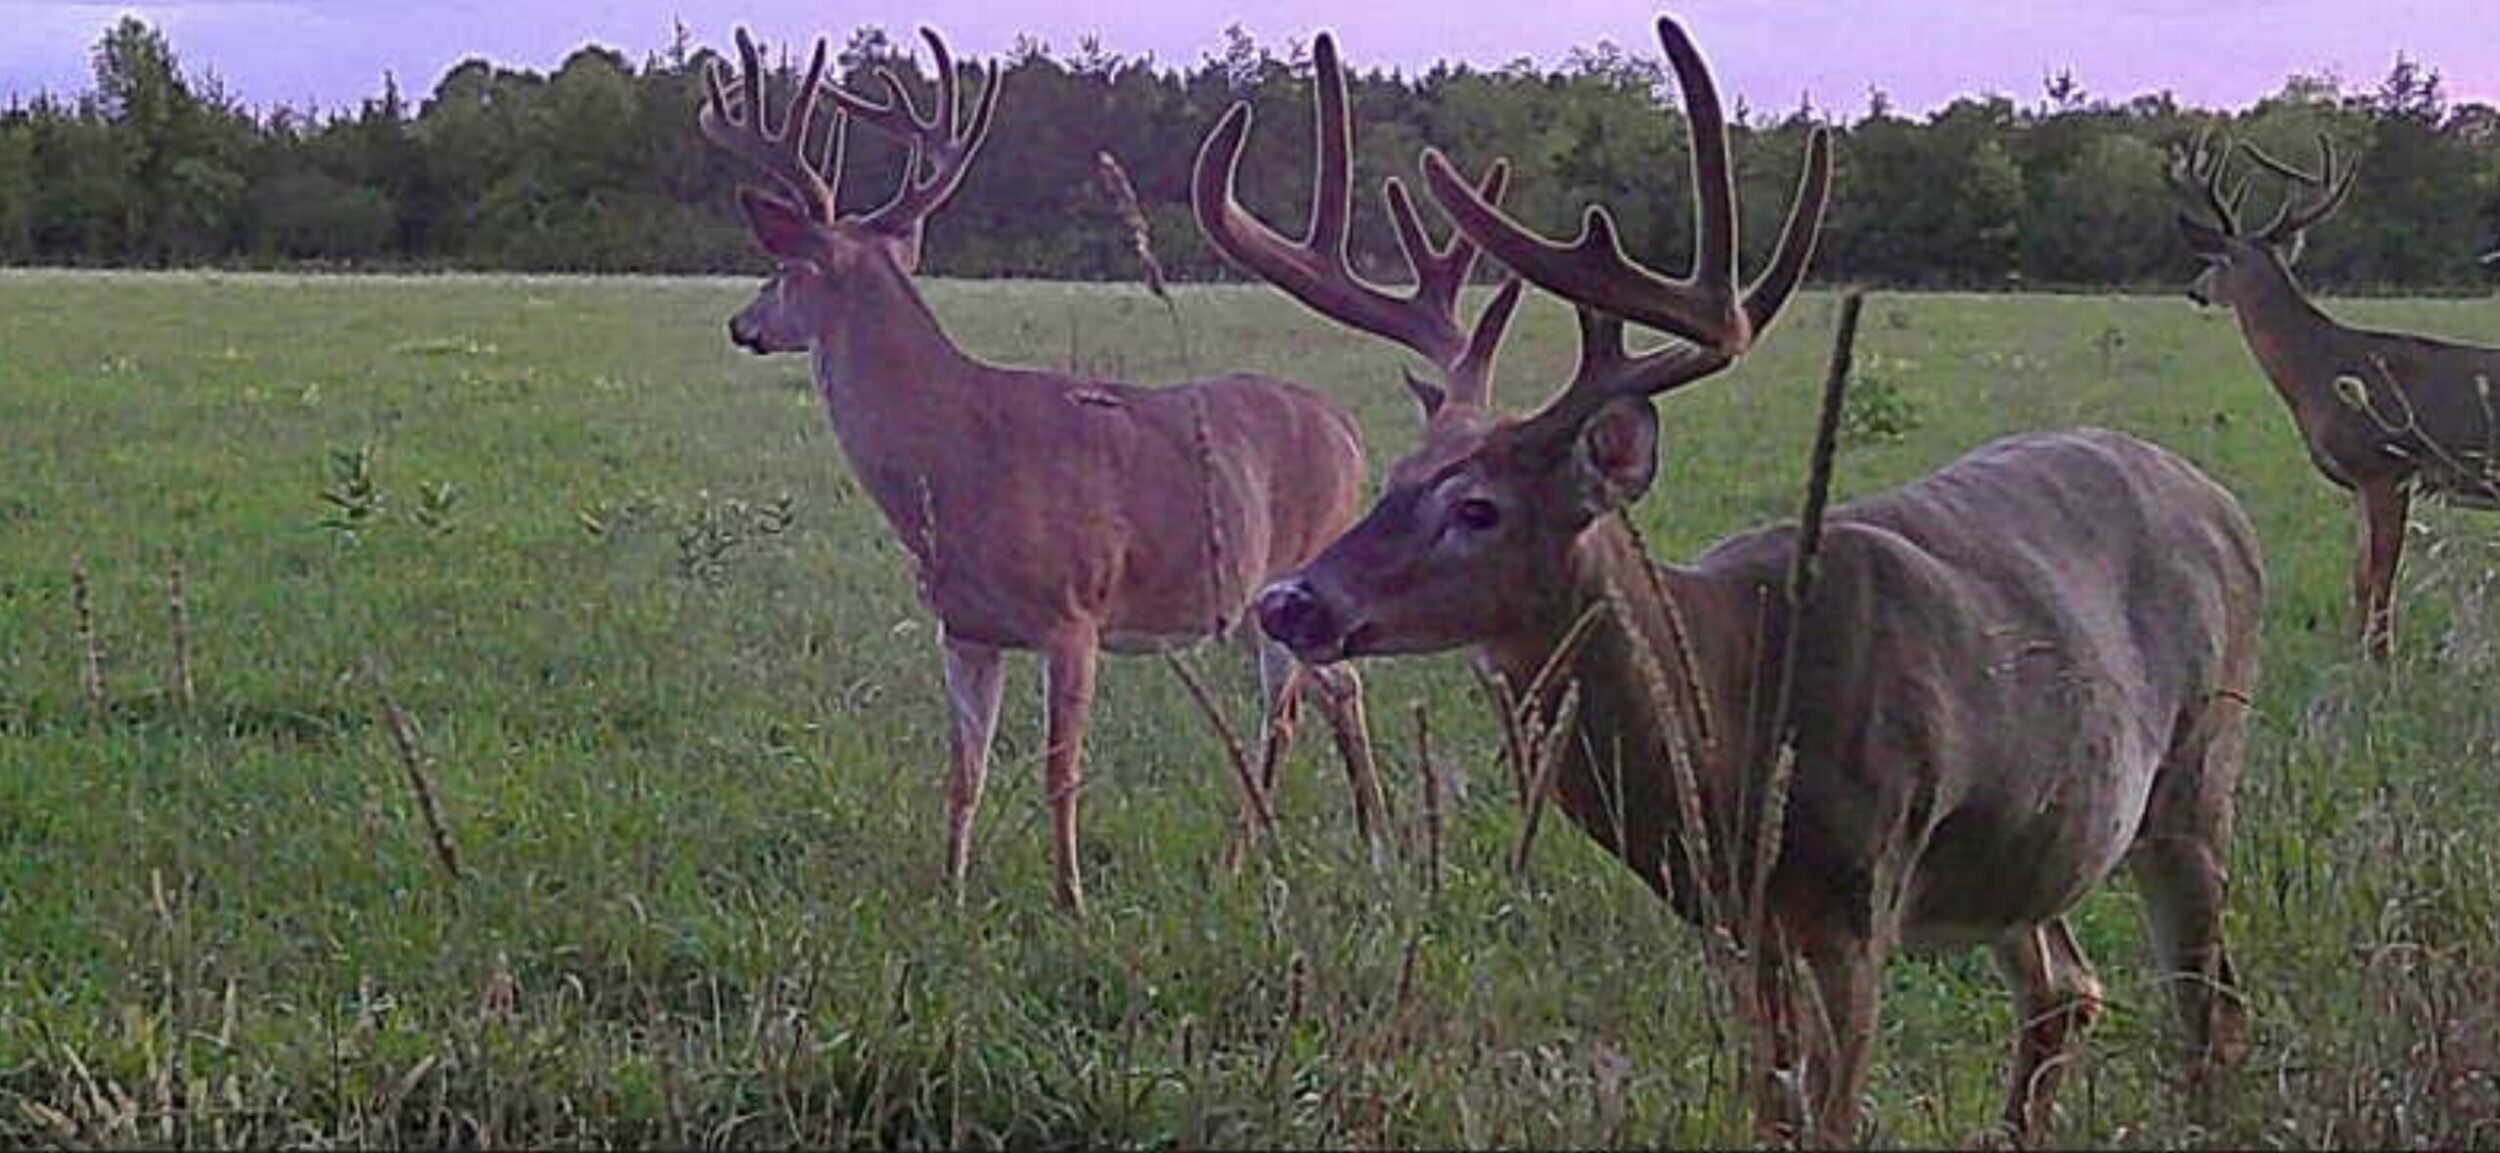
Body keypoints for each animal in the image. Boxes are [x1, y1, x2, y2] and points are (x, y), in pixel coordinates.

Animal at [696, 25, 1393, 915]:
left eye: (784, 271)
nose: (740, 323)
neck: (958, 463)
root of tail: (1349, 429)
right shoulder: (963, 628)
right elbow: (964, 772)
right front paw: (951, 892)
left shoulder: (1074, 616)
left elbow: (1061, 774)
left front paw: (1071, 903)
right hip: (1251, 607)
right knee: (1336, 692)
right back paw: (1334, 849)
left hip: (1289, 577)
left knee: (1304, 702)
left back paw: (1323, 849)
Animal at [1203, 17, 2264, 1146]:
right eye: (1398, 477)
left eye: (1478, 508)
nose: (1289, 601)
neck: (1734, 706)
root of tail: (2223, 503)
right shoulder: (1736, 920)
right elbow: (1775, 1104)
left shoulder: (1860, 893)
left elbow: (1832, 1114)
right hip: (2025, 844)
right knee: (2067, 989)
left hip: (2198, 772)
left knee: (2211, 1012)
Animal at [2172, 132, 2500, 664]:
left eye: (2216, 261)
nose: (2194, 290)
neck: (2320, 370)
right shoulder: (2361, 483)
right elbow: (2360, 577)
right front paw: (2350, 654)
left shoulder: (2389, 468)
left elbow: (2383, 576)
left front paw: (2381, 659)